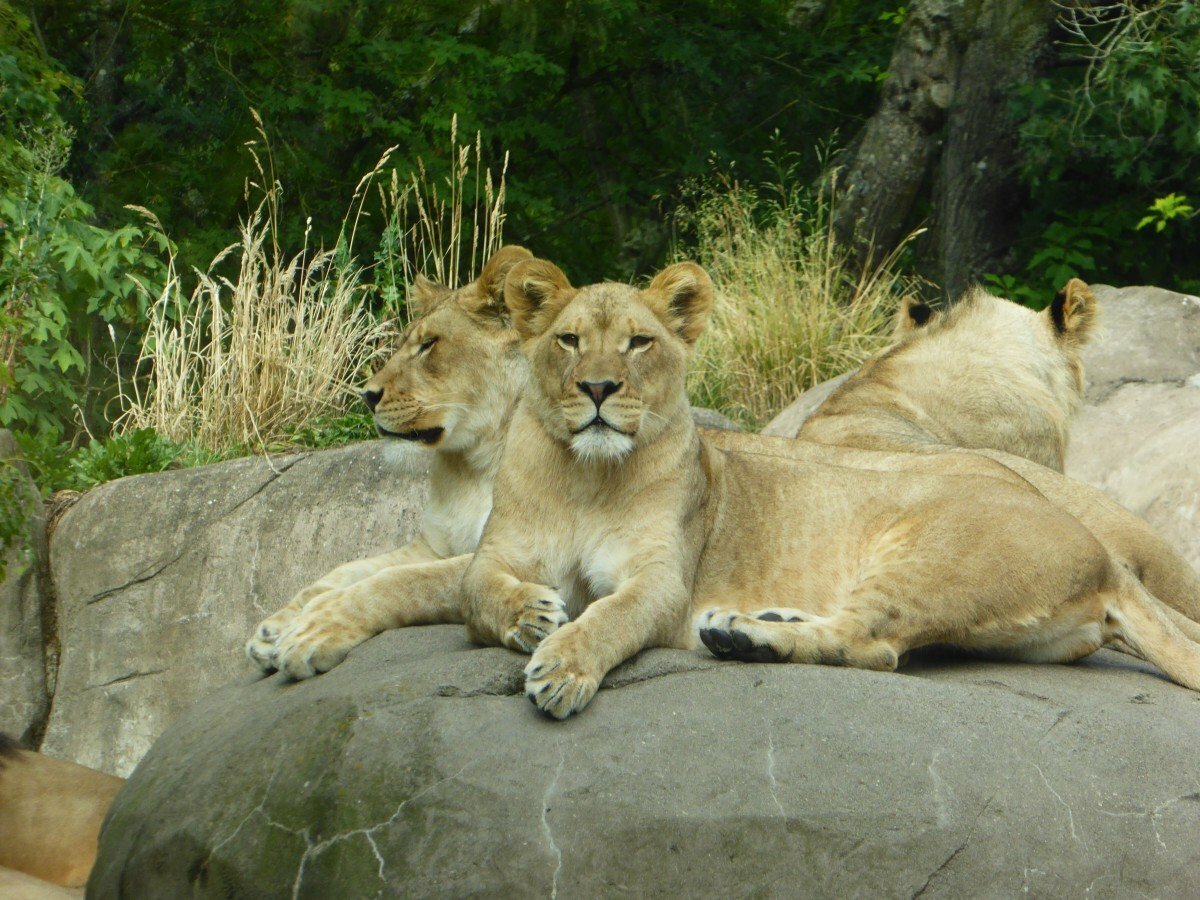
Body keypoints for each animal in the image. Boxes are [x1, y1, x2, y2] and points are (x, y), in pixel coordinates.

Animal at [245, 245, 534, 678]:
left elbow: (400, 582)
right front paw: (274, 628)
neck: (475, 464)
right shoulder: (434, 545)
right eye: (404, 344)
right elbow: (349, 569)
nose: (367, 395)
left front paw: (312, 629)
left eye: (429, 344)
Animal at [461, 258, 1200, 719]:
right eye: (568, 340)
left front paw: (564, 666)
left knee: (872, 644)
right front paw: (531, 617)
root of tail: (1103, 560)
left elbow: (611, 617)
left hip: (931, 556)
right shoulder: (495, 552)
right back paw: (763, 624)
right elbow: (477, 591)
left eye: (639, 343)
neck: (585, 477)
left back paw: (741, 636)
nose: (597, 388)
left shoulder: (662, 580)